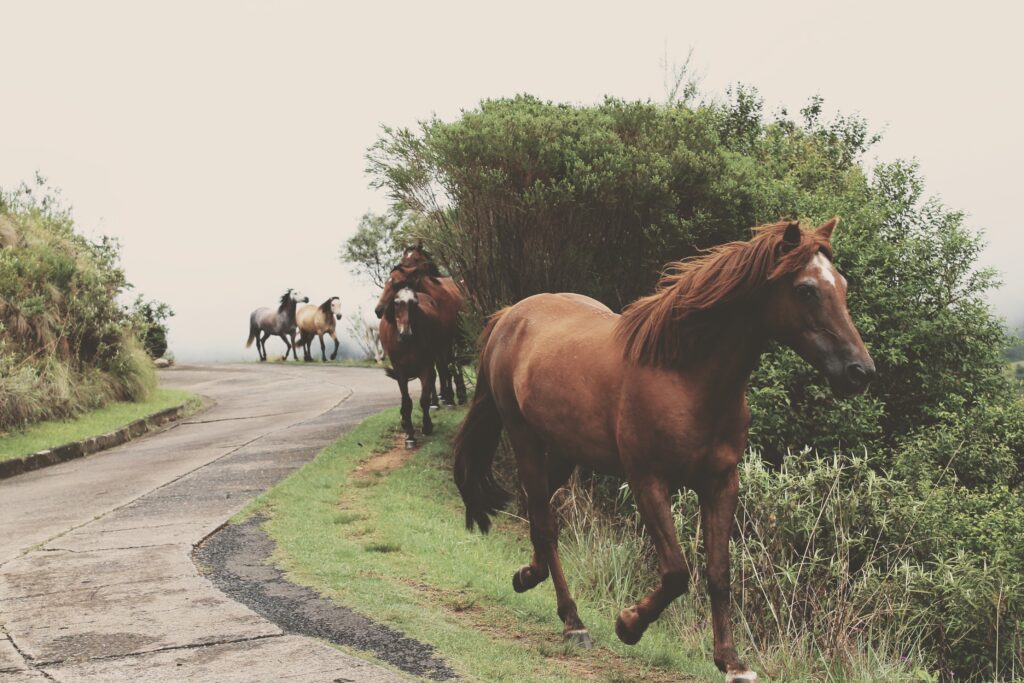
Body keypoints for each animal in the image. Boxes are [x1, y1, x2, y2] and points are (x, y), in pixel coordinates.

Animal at [374, 246, 467, 405]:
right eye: (403, 258)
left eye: (397, 283)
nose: (379, 310)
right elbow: (436, 370)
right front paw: (436, 401)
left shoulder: (444, 341)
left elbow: (445, 366)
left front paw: (448, 398)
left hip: (455, 338)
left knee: (454, 363)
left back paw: (459, 394)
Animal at [380, 285, 447, 447]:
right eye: (397, 303)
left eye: (415, 304)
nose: (406, 334)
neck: (407, 343)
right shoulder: (400, 370)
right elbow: (406, 401)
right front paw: (409, 435)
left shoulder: (425, 366)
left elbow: (423, 399)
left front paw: (427, 426)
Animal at [453, 219, 874, 682]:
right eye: (806, 290)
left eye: (843, 285)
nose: (860, 371)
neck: (685, 377)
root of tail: (510, 315)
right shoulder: (649, 481)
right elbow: (676, 573)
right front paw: (628, 624)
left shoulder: (721, 483)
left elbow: (718, 573)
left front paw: (731, 660)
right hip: (524, 437)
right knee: (545, 523)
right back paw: (572, 621)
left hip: (565, 450)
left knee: (539, 511)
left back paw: (528, 575)